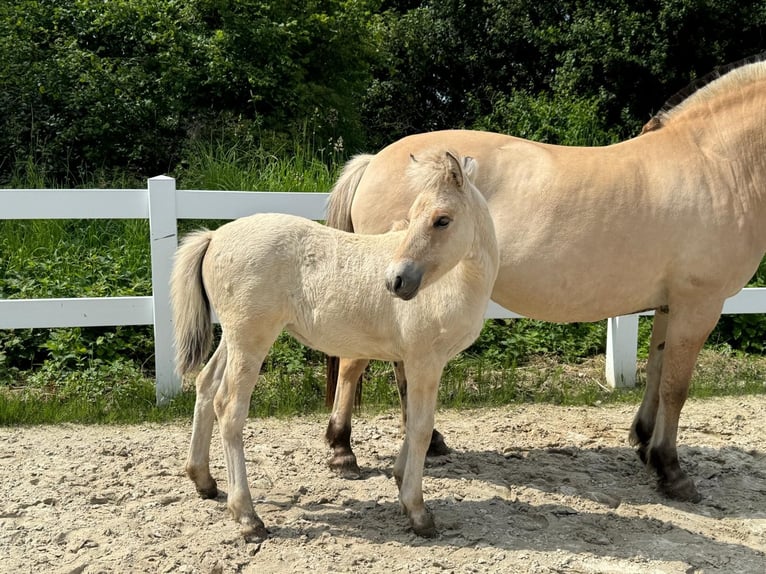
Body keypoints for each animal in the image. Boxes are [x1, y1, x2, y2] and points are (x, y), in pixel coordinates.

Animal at [171, 151, 500, 544]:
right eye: (417, 214)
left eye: (442, 220)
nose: (396, 281)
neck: (453, 282)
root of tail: (215, 235)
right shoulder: (425, 361)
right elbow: (420, 426)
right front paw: (418, 512)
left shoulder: (414, 361)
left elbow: (411, 419)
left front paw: (401, 482)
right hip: (251, 339)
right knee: (229, 407)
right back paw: (248, 517)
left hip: (233, 338)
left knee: (206, 385)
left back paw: (204, 480)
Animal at [328, 55, 766, 504]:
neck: (715, 164)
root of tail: (374, 161)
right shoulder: (700, 304)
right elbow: (676, 389)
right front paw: (671, 471)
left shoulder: (670, 304)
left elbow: (658, 376)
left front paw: (645, 443)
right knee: (354, 362)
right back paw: (342, 450)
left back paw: (429, 440)